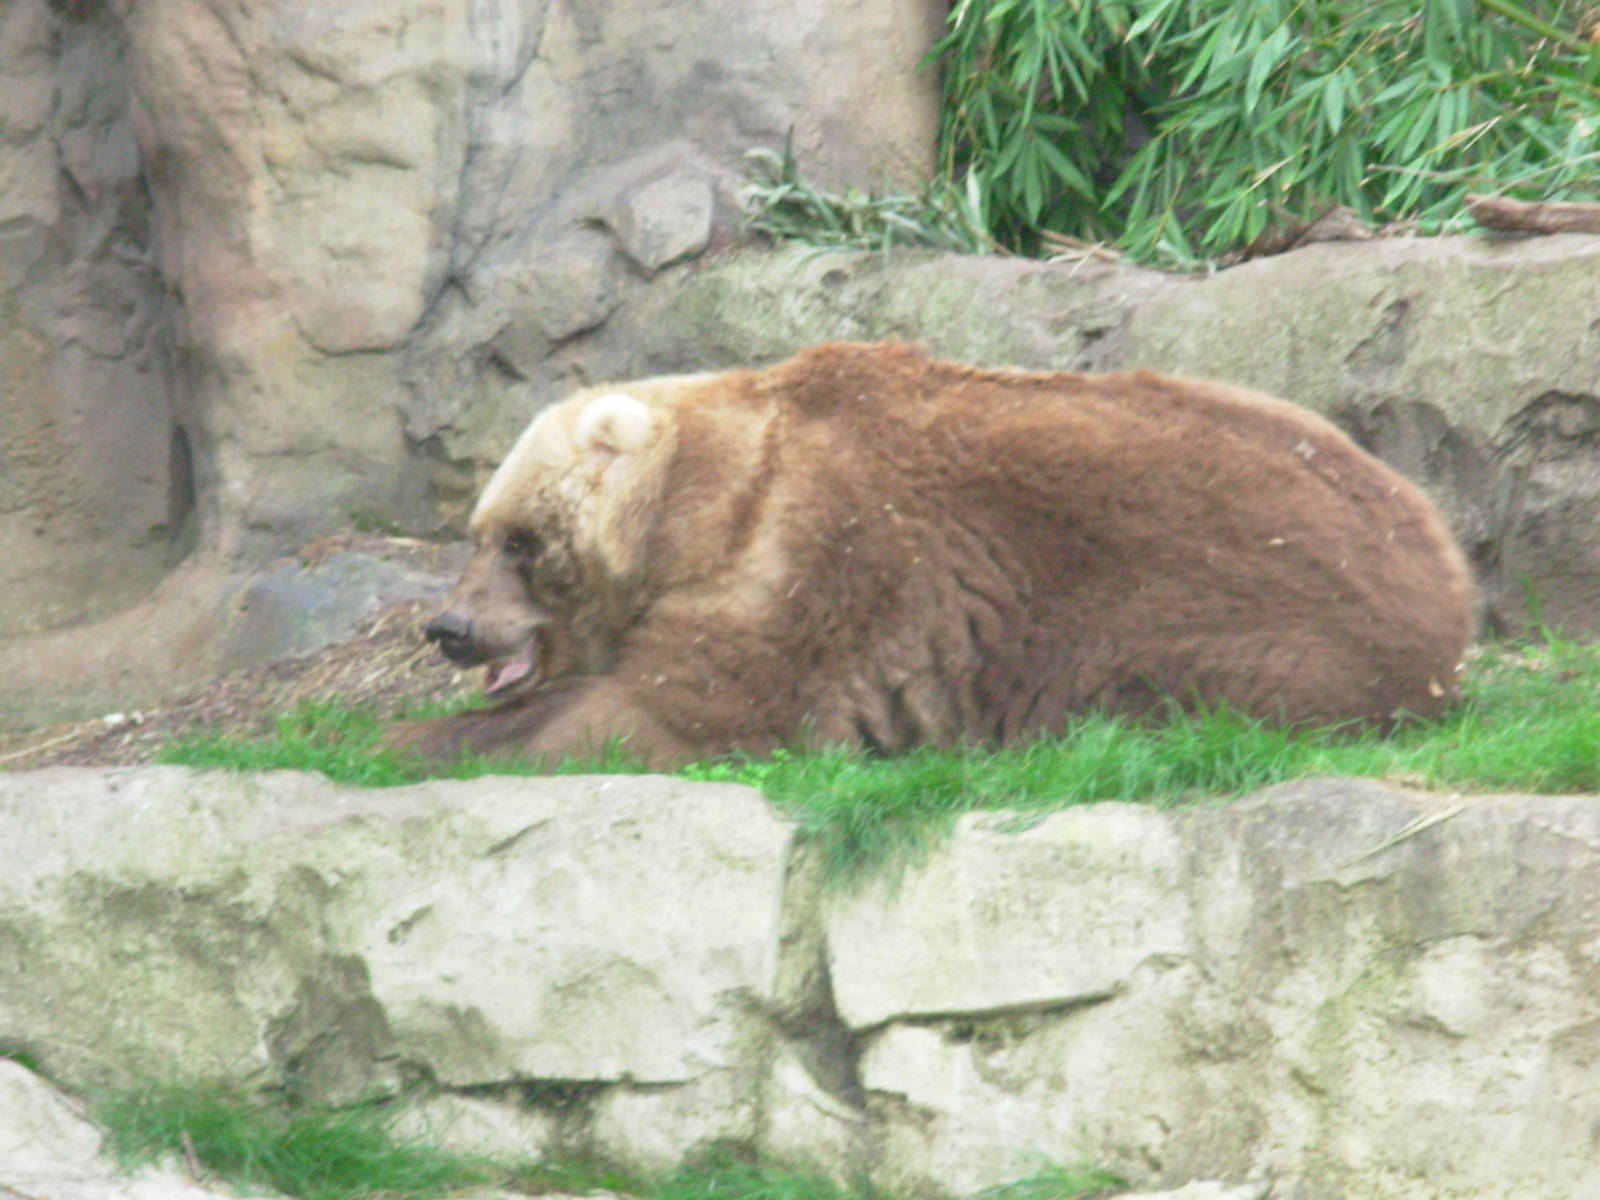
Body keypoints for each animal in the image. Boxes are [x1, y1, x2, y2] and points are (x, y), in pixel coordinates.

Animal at [392, 340, 1475, 767]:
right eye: (475, 535)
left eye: (522, 541)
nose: (450, 627)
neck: (700, 507)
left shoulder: (807, 554)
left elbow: (678, 713)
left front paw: (422, 739)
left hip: (1236, 615)